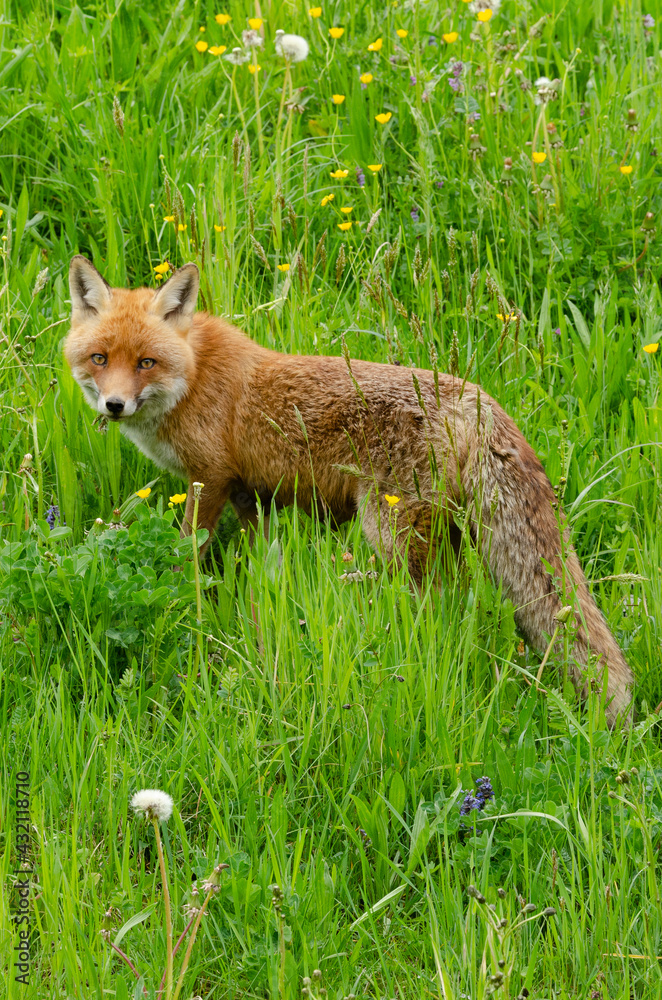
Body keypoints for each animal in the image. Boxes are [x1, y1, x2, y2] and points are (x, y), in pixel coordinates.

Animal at [64, 255, 634, 725]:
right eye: (99, 358)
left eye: (146, 363)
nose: (114, 405)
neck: (195, 377)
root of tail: (477, 399)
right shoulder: (253, 496)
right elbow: (262, 568)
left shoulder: (211, 480)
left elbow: (187, 555)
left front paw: (185, 596)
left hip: (390, 531)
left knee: (439, 603)